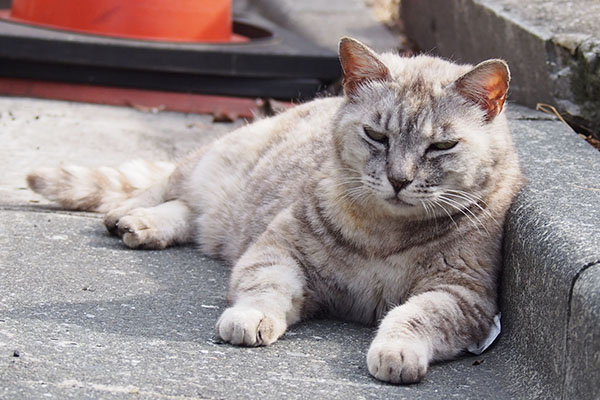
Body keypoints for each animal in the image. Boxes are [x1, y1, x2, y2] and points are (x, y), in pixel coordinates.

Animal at [25, 37, 524, 384]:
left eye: (441, 146)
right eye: (376, 136)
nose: (399, 179)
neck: (386, 232)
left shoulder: (464, 296)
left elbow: (416, 314)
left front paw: (396, 350)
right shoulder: (277, 249)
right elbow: (267, 287)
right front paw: (250, 318)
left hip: (222, 215)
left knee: (189, 215)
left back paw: (146, 225)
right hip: (206, 169)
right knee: (163, 188)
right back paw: (131, 214)